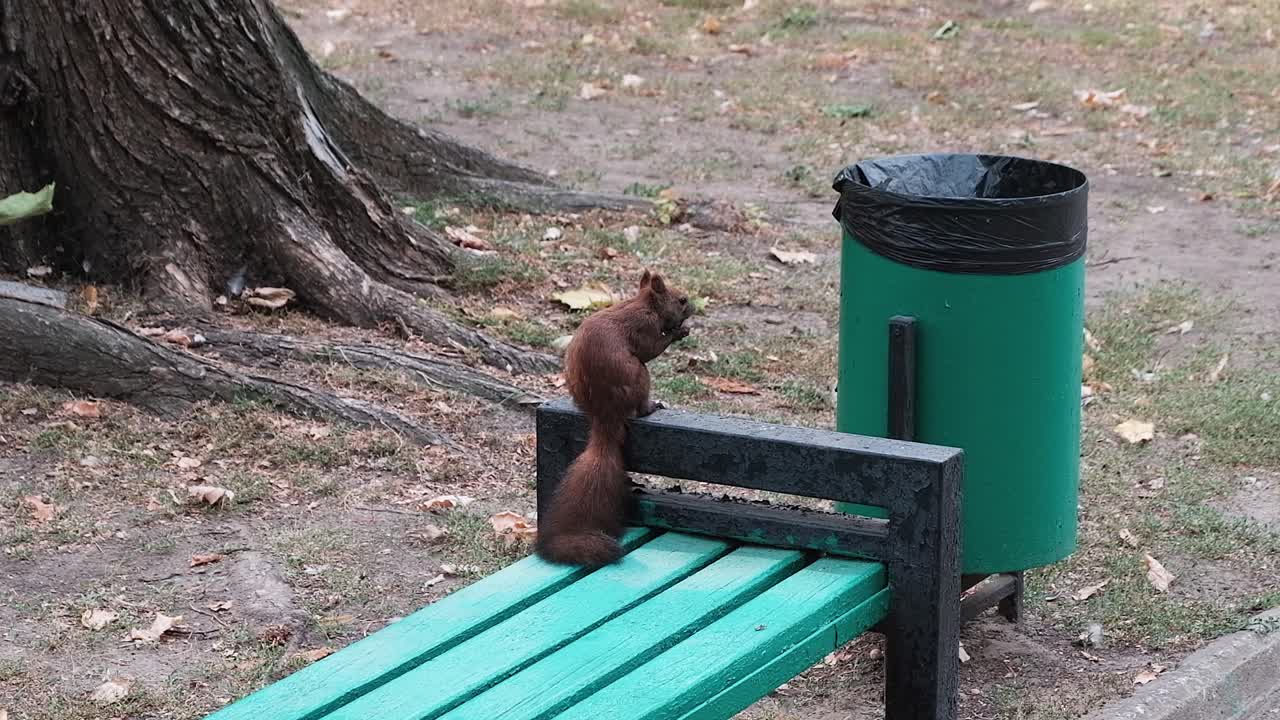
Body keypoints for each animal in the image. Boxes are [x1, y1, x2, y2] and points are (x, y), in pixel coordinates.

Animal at [535, 269, 694, 568]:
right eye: (681, 300)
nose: (693, 309)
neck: (641, 303)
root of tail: (604, 415)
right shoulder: (644, 327)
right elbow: (651, 348)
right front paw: (679, 332)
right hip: (640, 376)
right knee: (641, 397)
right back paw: (651, 406)